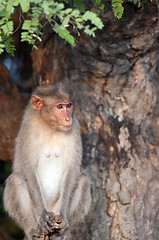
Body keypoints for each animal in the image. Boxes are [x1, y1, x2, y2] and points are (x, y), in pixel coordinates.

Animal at [3, 84, 90, 240]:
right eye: (59, 106)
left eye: (68, 106)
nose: (67, 118)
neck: (50, 126)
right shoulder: (29, 127)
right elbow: (28, 168)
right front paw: (43, 217)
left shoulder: (75, 127)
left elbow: (72, 170)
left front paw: (64, 218)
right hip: (36, 215)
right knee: (15, 180)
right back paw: (32, 231)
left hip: (55, 210)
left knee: (83, 181)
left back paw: (60, 233)